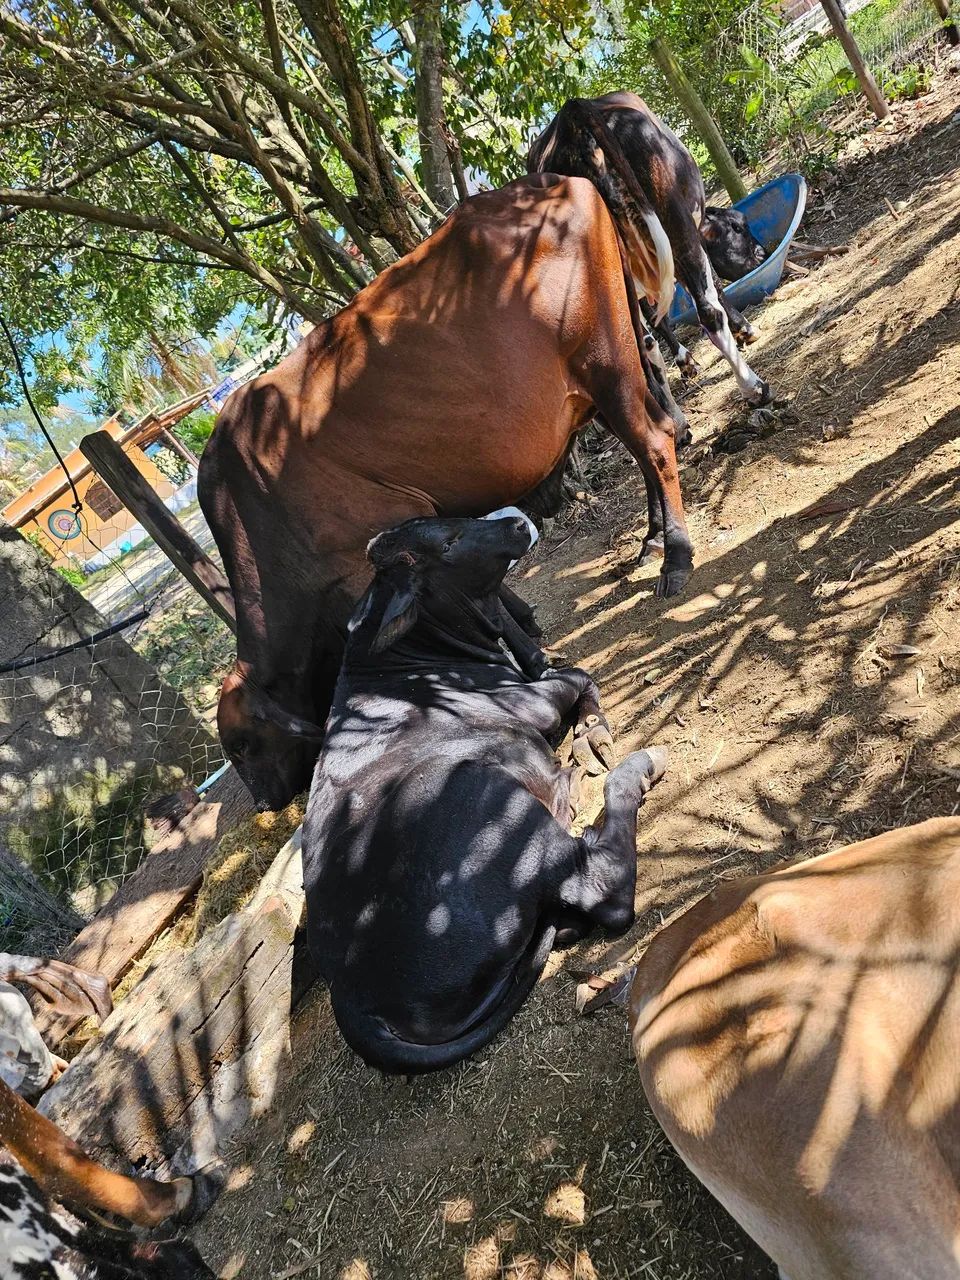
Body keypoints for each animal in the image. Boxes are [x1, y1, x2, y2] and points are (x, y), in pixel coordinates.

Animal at [199, 172, 692, 811]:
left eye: (243, 745)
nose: (265, 802)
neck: (255, 520)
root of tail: (561, 179)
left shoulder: (368, 555)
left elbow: (489, 608)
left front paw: (532, 659)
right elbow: (493, 592)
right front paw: (528, 627)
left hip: (606, 362)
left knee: (654, 441)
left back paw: (676, 556)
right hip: (605, 376)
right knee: (646, 444)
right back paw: (651, 540)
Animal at [302, 515, 668, 1074]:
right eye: (448, 543)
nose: (516, 521)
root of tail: (355, 1002)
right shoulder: (531, 703)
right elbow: (579, 674)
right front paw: (594, 734)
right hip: (488, 796)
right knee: (603, 887)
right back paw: (629, 770)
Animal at [527, 93, 773, 404]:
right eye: (738, 226)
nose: (763, 253)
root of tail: (573, 111)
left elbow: (658, 319)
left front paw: (685, 361)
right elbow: (715, 286)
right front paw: (744, 330)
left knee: (635, 348)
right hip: (674, 223)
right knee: (708, 311)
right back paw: (754, 387)